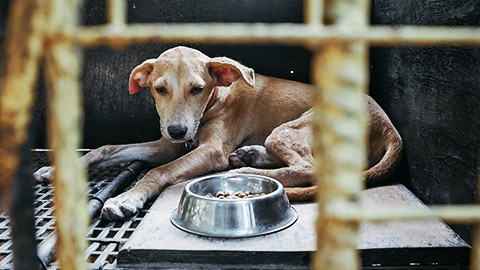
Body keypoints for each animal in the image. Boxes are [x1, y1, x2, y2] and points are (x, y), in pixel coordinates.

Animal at [32, 46, 402, 219]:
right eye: (159, 89)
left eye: (197, 89)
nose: (178, 129)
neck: (215, 99)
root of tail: (389, 126)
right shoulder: (169, 144)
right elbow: (107, 149)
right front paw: (55, 170)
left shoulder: (209, 150)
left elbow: (158, 171)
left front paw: (127, 198)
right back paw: (251, 155)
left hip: (288, 129)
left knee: (308, 167)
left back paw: (246, 168)